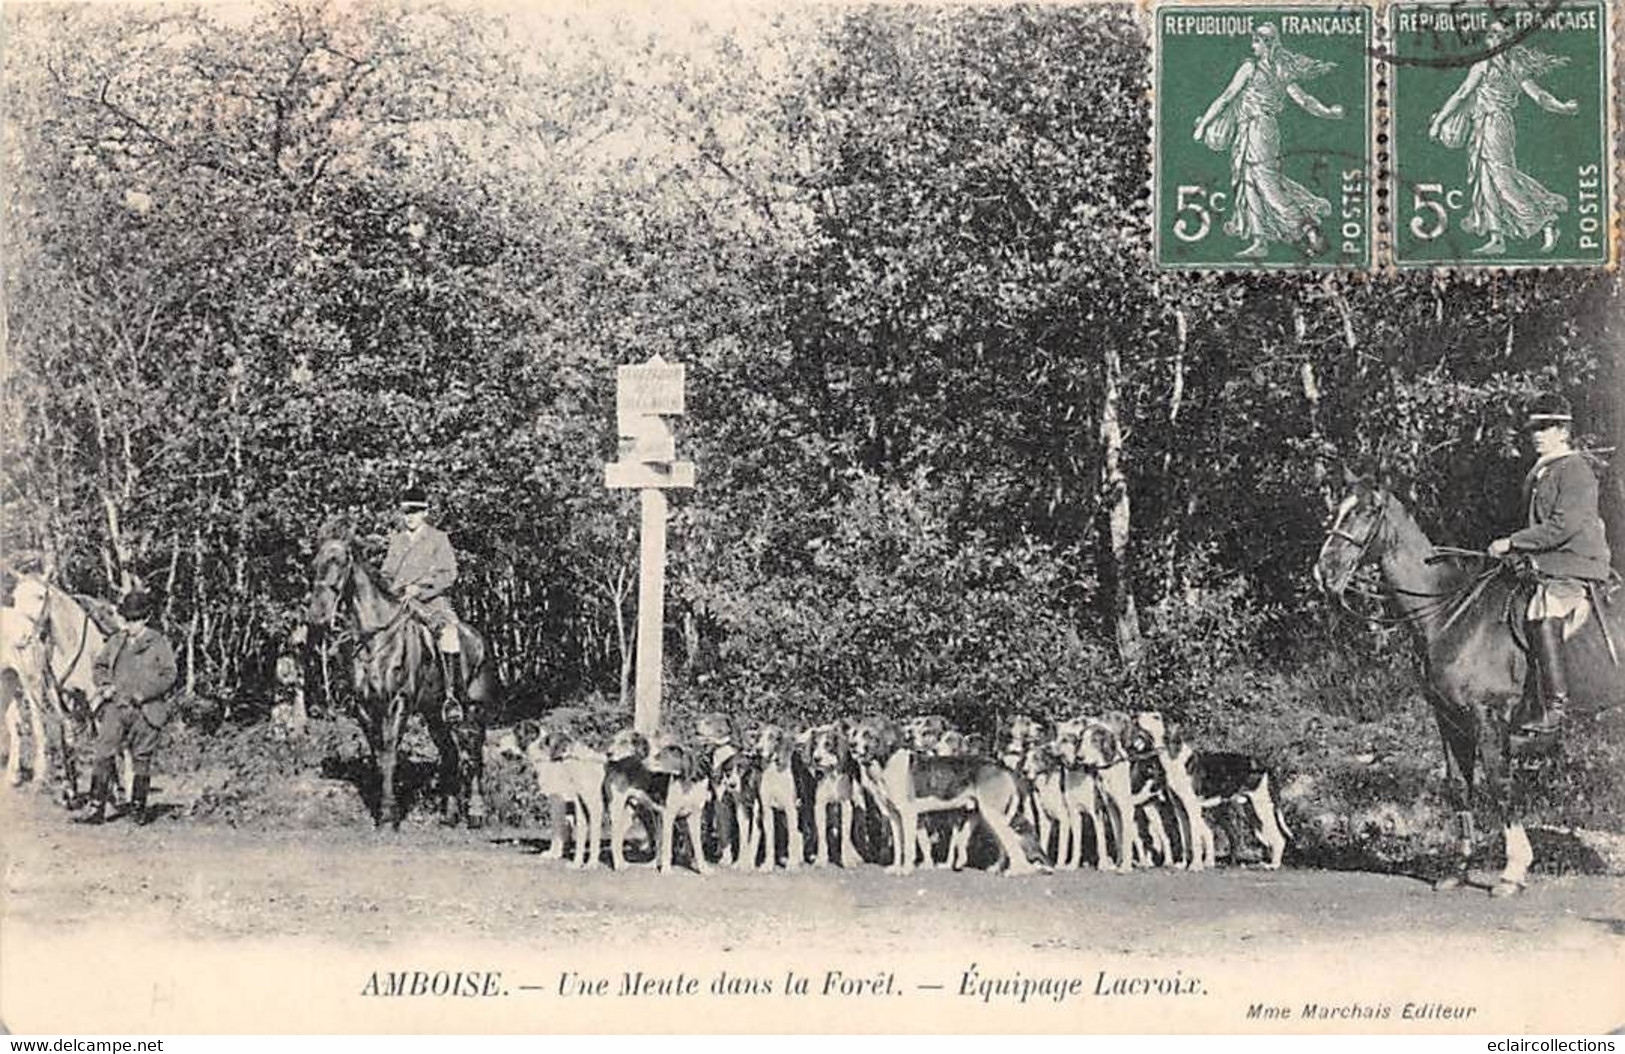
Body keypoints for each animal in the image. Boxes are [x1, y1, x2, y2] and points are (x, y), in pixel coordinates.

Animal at [0, 571, 130, 802]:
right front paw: (70, 790)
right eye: (15, 598)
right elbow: (66, 738)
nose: (24, 638)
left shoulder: (95, 697)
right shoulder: (62, 696)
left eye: (41, 596)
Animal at [305, 522, 494, 825]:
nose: (317, 617)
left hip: (475, 709)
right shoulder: (365, 706)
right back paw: (450, 815)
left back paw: (476, 812)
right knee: (451, 755)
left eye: (340, 561)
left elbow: (391, 752)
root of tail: (478, 639)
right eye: (315, 564)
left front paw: (388, 815)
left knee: (474, 753)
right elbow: (379, 755)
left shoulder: (398, 702)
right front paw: (382, 810)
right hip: (435, 715)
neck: (375, 639)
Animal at [1313, 477, 1618, 896]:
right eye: (1337, 510)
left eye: (1366, 511)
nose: (1324, 573)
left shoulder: (1487, 717)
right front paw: (1459, 869)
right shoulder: (1449, 719)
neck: (1450, 613)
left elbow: (1499, 785)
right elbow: (1459, 786)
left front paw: (1512, 871)